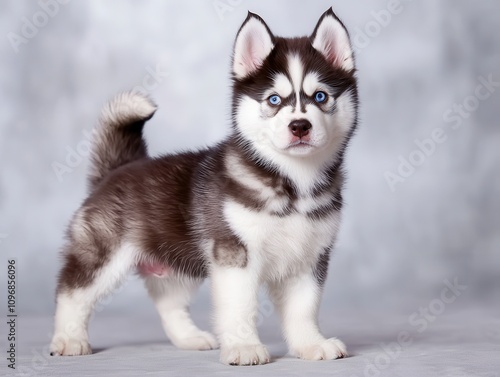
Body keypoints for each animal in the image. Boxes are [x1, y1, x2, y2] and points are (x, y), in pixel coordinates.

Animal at [49, 8, 356, 364]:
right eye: (274, 100)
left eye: (320, 96)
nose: (300, 126)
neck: (294, 183)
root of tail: (119, 168)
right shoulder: (235, 254)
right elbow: (241, 306)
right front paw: (244, 346)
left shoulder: (310, 257)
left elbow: (304, 308)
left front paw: (310, 344)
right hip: (102, 253)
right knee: (72, 292)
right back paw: (69, 339)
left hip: (175, 264)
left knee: (168, 303)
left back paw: (190, 338)